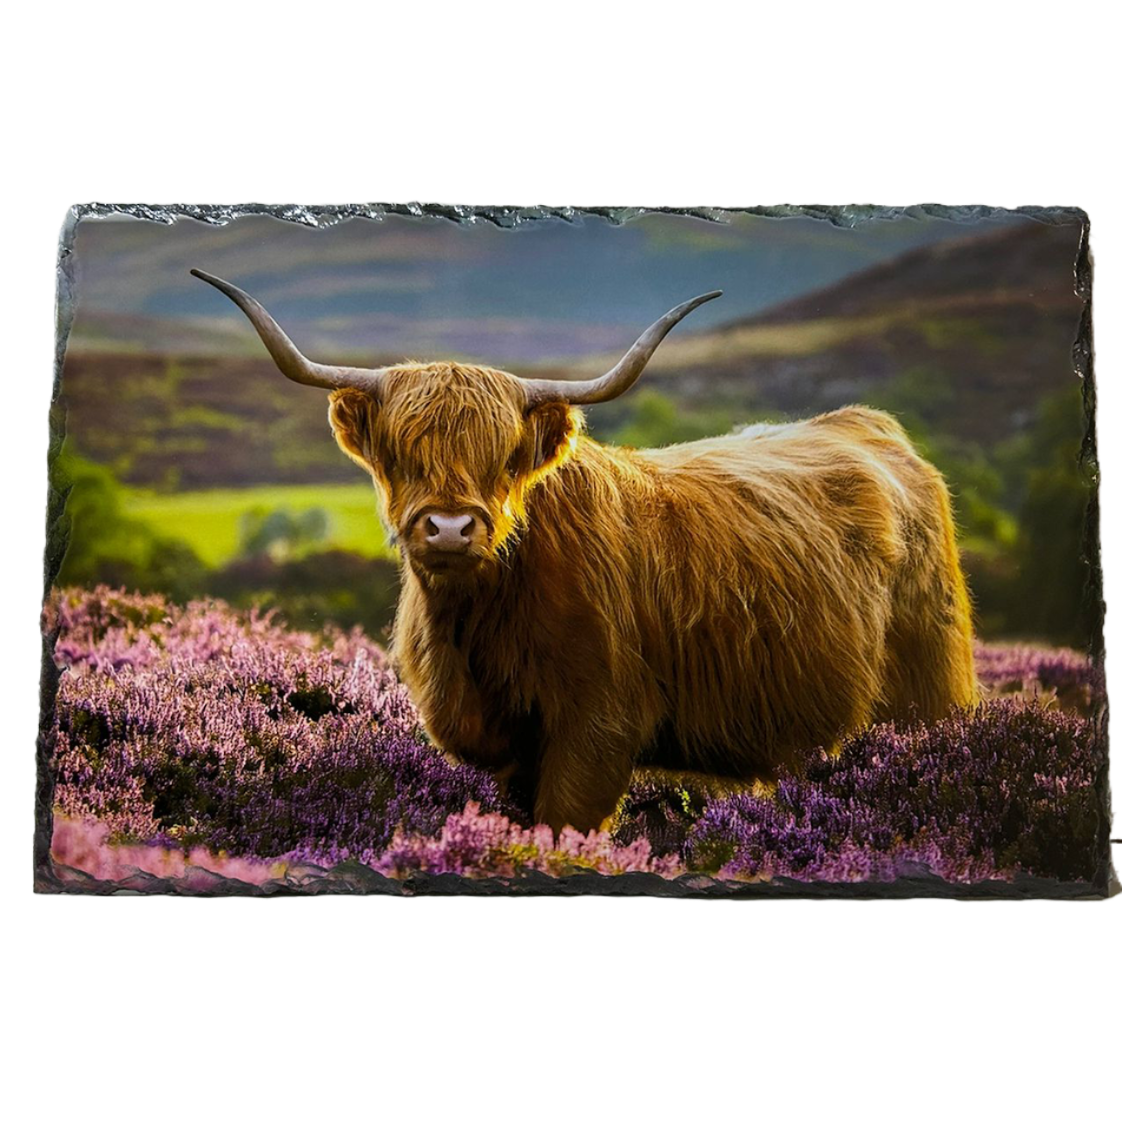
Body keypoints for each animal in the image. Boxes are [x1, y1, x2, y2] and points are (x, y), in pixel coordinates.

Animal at [192, 269, 979, 834]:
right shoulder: (504, 740)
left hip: (926, 690)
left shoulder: (599, 722)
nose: (448, 528)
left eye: (505, 456)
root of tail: (864, 424)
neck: (478, 627)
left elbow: (564, 825)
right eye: (402, 453)